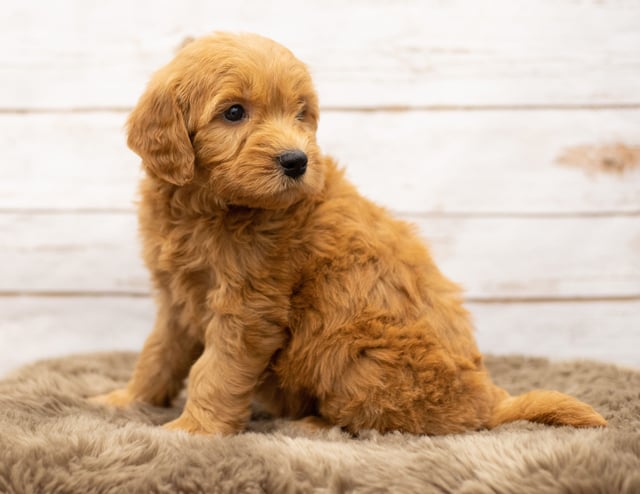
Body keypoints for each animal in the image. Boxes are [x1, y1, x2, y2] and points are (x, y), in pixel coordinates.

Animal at [92, 30, 608, 434]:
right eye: (234, 112)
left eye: (301, 113)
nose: (297, 161)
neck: (208, 208)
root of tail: (488, 403)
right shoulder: (178, 295)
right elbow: (158, 352)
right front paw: (127, 400)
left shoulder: (249, 307)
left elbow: (215, 370)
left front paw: (192, 430)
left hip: (348, 347)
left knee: (377, 421)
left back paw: (311, 425)